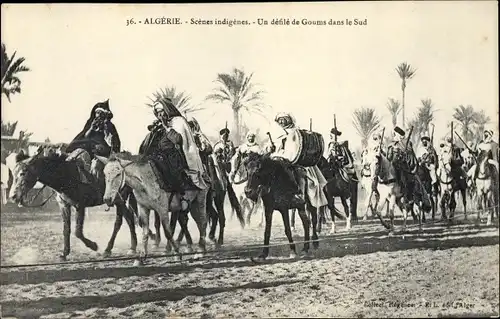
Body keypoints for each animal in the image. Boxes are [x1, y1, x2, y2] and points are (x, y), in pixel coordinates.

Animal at [9, 150, 138, 260]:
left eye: (23, 173)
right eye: (13, 173)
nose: (13, 196)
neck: (67, 175)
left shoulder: (80, 205)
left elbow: (78, 232)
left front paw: (93, 246)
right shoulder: (64, 206)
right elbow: (66, 230)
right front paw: (64, 253)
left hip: (119, 199)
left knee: (119, 222)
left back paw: (109, 249)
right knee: (129, 218)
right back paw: (132, 247)